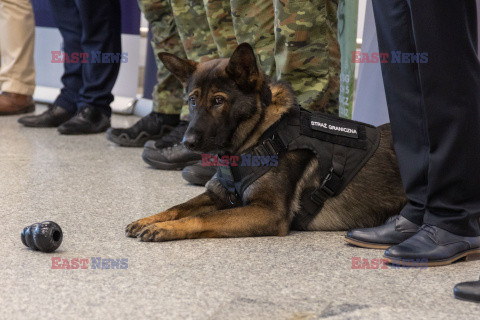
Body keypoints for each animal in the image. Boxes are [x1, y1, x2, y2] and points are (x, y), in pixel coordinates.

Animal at [125, 43, 406, 242]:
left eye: (218, 101)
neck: (261, 133)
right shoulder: (218, 195)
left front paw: (165, 228)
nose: (188, 142)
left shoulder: (267, 212)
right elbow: (178, 206)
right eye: (193, 100)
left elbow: (206, 218)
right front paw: (151, 219)